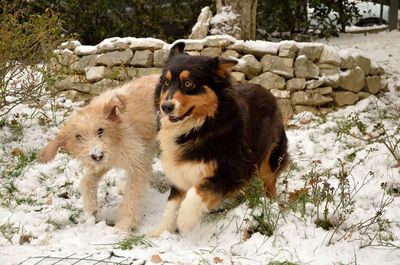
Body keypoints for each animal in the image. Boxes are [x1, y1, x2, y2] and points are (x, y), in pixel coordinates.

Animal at [38, 75, 159, 231]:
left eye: (100, 130)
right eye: (78, 137)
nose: (97, 155)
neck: (117, 135)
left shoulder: (137, 164)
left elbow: (132, 197)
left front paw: (123, 227)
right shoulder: (105, 161)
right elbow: (86, 181)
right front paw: (92, 207)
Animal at [149, 41, 288, 235]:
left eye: (188, 83)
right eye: (166, 82)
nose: (166, 107)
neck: (201, 126)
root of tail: (265, 89)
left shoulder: (232, 171)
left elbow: (199, 189)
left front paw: (186, 219)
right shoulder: (179, 172)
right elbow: (172, 204)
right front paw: (160, 232)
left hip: (270, 158)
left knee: (270, 182)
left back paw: (271, 206)